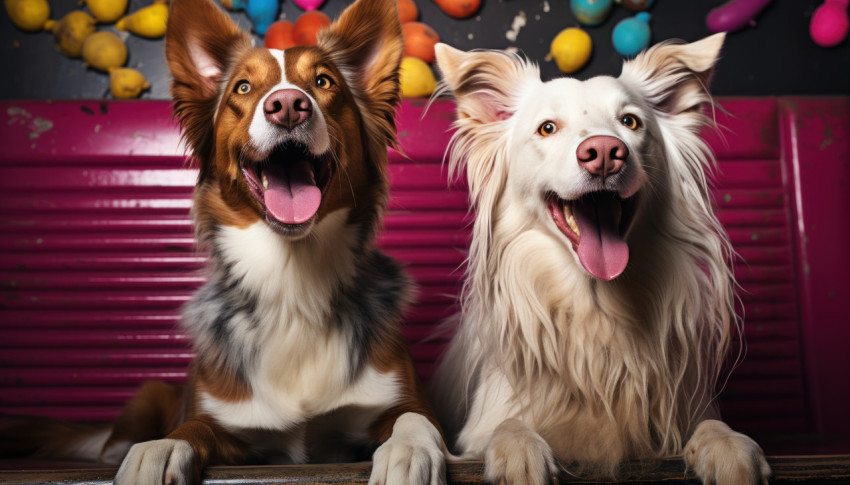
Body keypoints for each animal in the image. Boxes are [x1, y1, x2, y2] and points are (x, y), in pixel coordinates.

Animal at [0, 0, 448, 482]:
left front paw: (409, 452)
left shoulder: (400, 399)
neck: (294, 286)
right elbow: (190, 429)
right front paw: (157, 451)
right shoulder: (226, 421)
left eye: (324, 82)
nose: (288, 106)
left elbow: (414, 418)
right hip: (151, 391)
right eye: (243, 87)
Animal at [434, 35, 772, 484]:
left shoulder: (687, 406)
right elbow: (508, 426)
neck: (596, 305)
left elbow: (712, 426)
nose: (605, 152)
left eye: (630, 122)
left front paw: (731, 448)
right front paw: (518, 450)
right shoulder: (479, 428)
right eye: (547, 128)